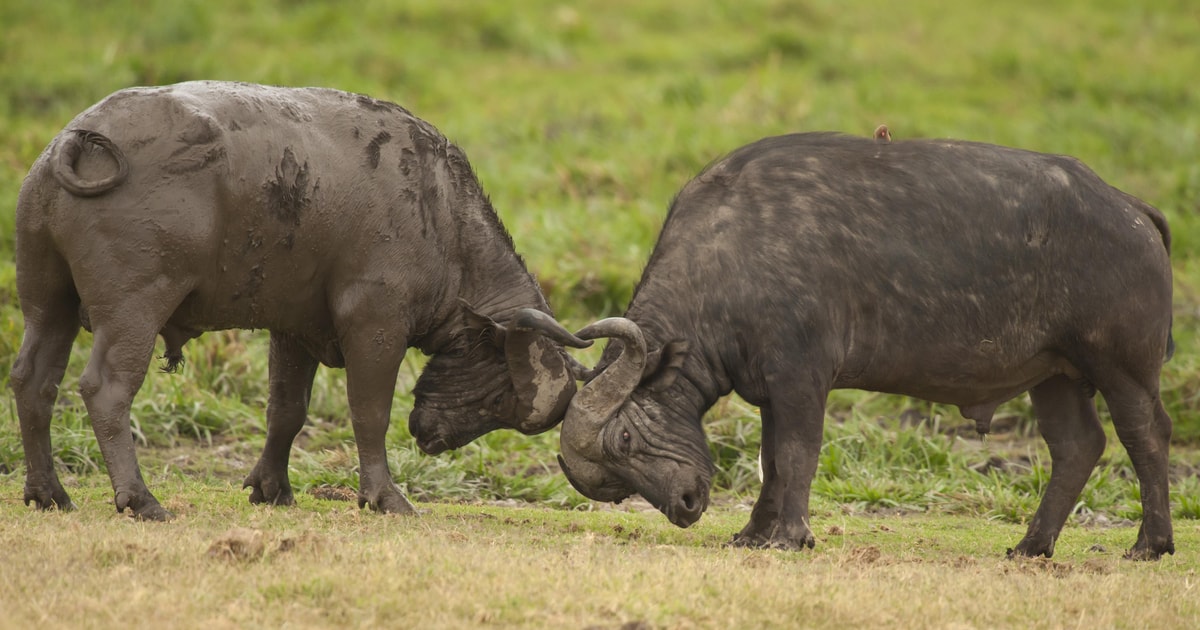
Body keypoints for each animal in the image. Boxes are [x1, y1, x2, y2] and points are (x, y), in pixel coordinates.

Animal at [8, 81, 590, 518]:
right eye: (499, 397)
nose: (433, 441)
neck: (443, 218)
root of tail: (80, 140)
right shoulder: (374, 326)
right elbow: (369, 412)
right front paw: (384, 496)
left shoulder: (294, 330)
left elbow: (286, 411)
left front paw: (272, 488)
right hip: (134, 309)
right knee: (106, 389)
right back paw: (140, 499)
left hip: (47, 302)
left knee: (32, 380)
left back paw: (49, 493)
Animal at [549, 130, 1176, 556]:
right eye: (612, 482)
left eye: (624, 438)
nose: (683, 507)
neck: (729, 257)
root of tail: (1130, 208)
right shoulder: (771, 389)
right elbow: (772, 462)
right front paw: (754, 532)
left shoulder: (802, 378)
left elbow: (796, 455)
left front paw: (791, 536)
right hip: (1055, 375)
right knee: (1078, 446)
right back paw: (1032, 545)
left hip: (1122, 368)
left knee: (1145, 437)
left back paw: (1151, 544)